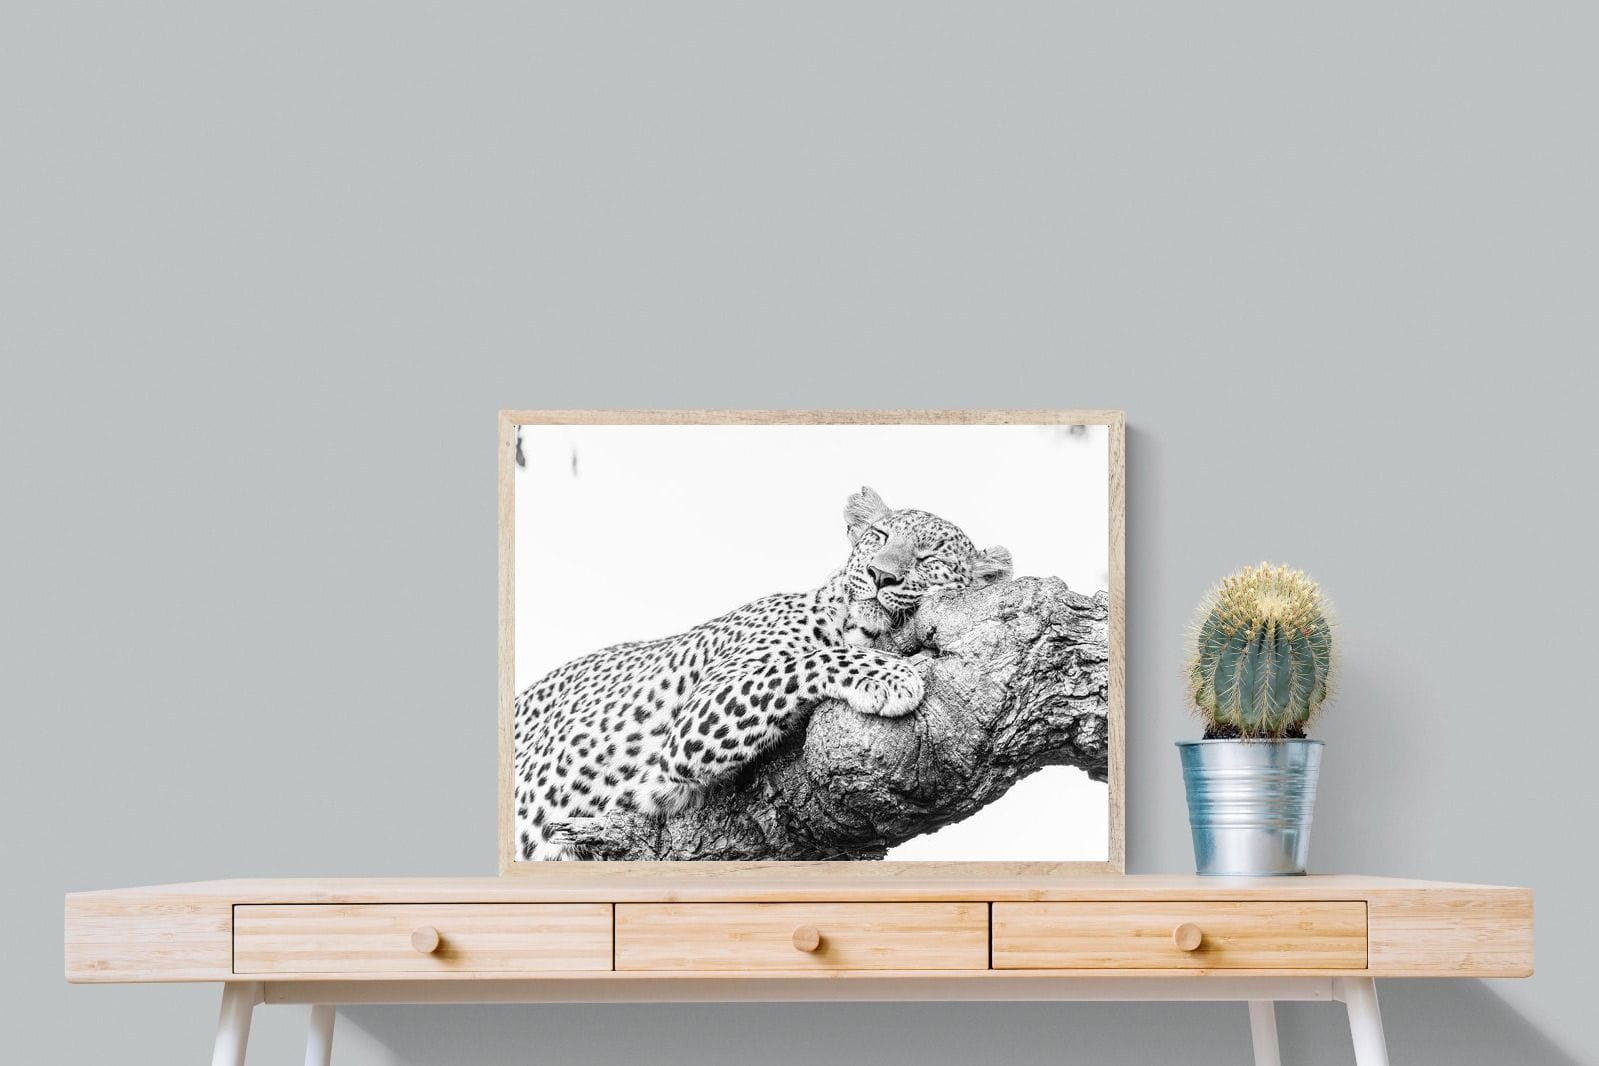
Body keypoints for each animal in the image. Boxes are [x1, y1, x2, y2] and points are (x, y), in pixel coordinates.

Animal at [512, 486, 1013, 860]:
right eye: (879, 535)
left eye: (931, 559)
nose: (880, 574)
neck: (853, 624)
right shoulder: (695, 720)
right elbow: (804, 662)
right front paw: (892, 675)